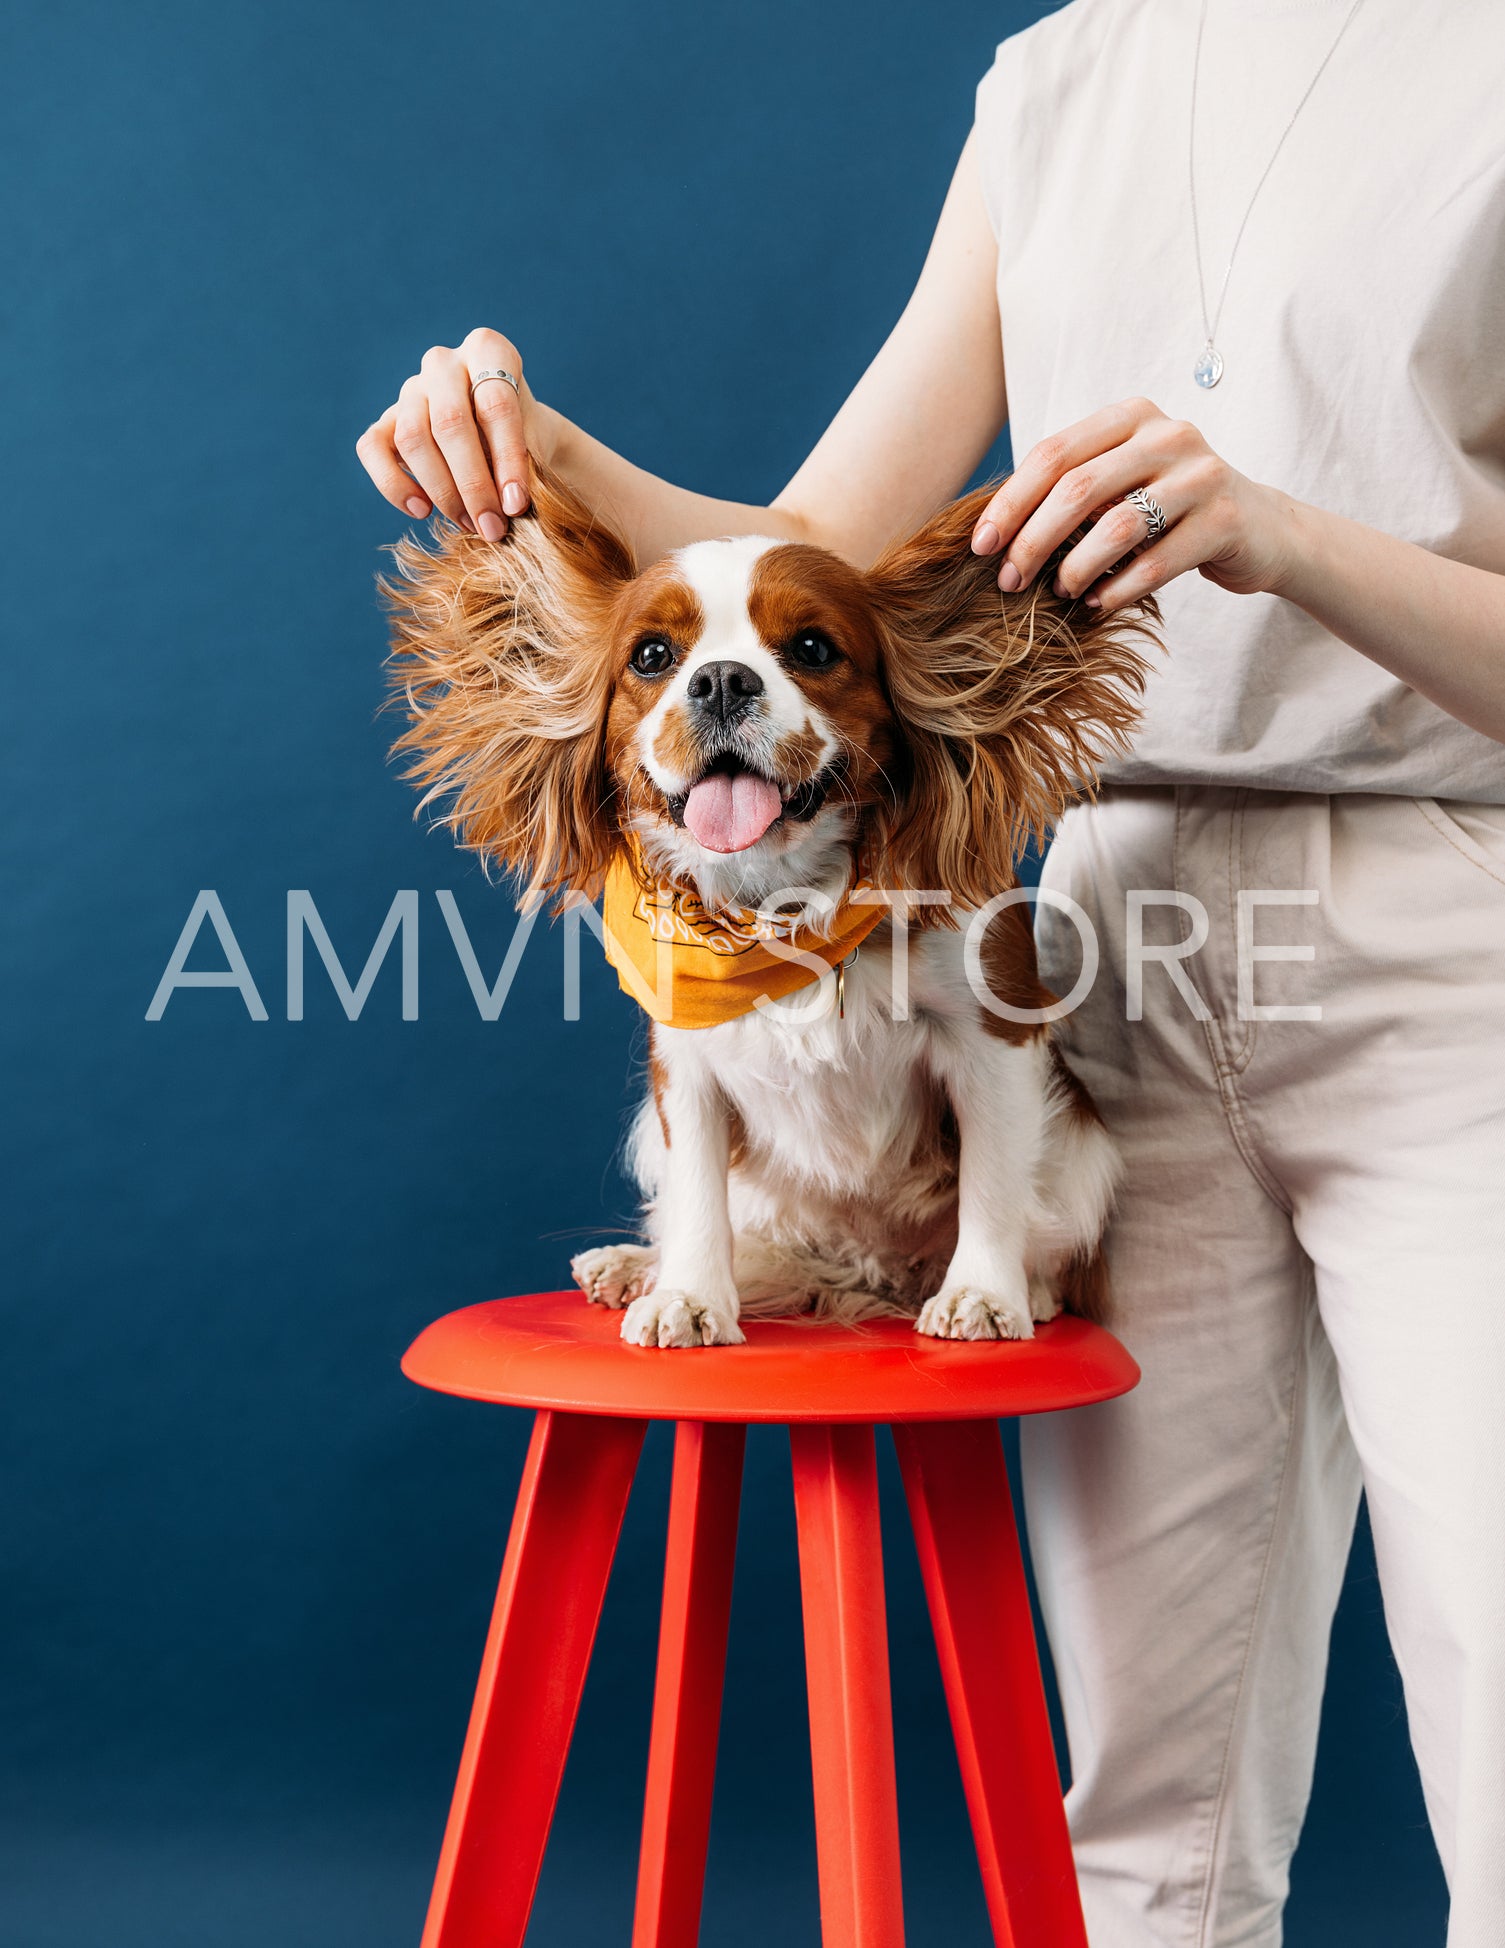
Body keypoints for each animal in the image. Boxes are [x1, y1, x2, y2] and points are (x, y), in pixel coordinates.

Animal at [379, 473, 1152, 1355]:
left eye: (812, 648)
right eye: (652, 656)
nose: (720, 680)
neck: (774, 900)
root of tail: (864, 1266)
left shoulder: (994, 1037)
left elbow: (992, 1182)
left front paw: (984, 1294)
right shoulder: (682, 1068)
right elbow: (695, 1196)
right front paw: (686, 1294)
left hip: (1083, 1147)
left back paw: (1031, 1289)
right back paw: (640, 1267)